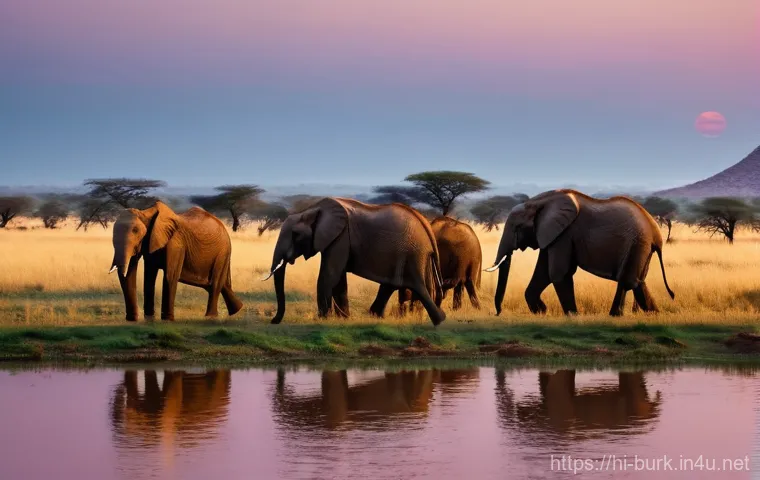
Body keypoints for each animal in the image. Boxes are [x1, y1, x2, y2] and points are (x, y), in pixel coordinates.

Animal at [109, 201, 243, 321]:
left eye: (136, 231)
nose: (132, 319)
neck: (146, 212)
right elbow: (149, 277)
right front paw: (148, 318)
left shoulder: (176, 243)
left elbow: (170, 276)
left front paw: (167, 320)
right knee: (214, 284)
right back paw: (237, 309)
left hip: (222, 252)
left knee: (215, 283)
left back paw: (210, 317)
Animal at [262, 197, 445, 325]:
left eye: (296, 235)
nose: (273, 321)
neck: (313, 209)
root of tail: (426, 225)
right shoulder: (338, 238)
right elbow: (338, 279)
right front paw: (343, 319)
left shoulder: (341, 236)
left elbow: (330, 274)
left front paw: (322, 319)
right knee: (393, 284)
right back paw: (375, 316)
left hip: (412, 253)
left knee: (415, 285)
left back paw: (439, 321)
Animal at [485, 189, 675, 317]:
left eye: (517, 227)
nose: (497, 313)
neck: (539, 202)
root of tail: (656, 234)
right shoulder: (551, 234)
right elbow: (543, 273)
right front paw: (541, 311)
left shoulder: (565, 234)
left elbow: (558, 273)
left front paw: (572, 316)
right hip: (642, 247)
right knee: (637, 281)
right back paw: (651, 314)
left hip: (637, 243)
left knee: (628, 280)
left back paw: (618, 315)